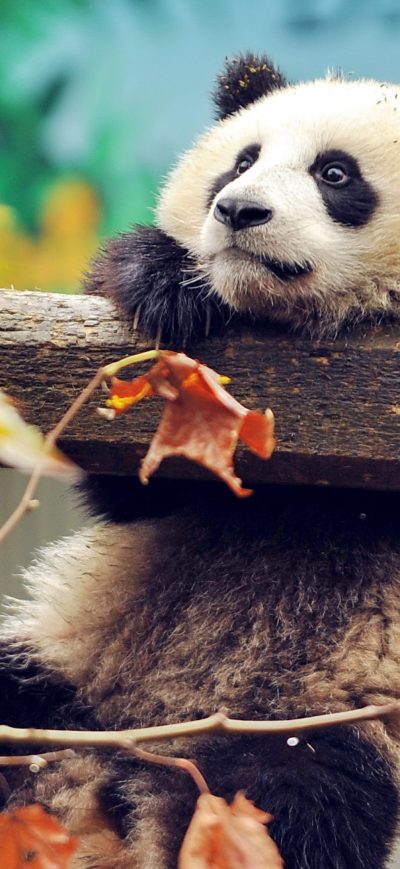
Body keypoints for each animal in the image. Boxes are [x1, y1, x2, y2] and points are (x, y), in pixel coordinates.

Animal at [2, 53, 400, 869]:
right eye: (241, 161)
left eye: (336, 174)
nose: (238, 212)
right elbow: (130, 488)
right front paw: (163, 279)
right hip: (67, 670)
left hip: (327, 711)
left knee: (299, 799)